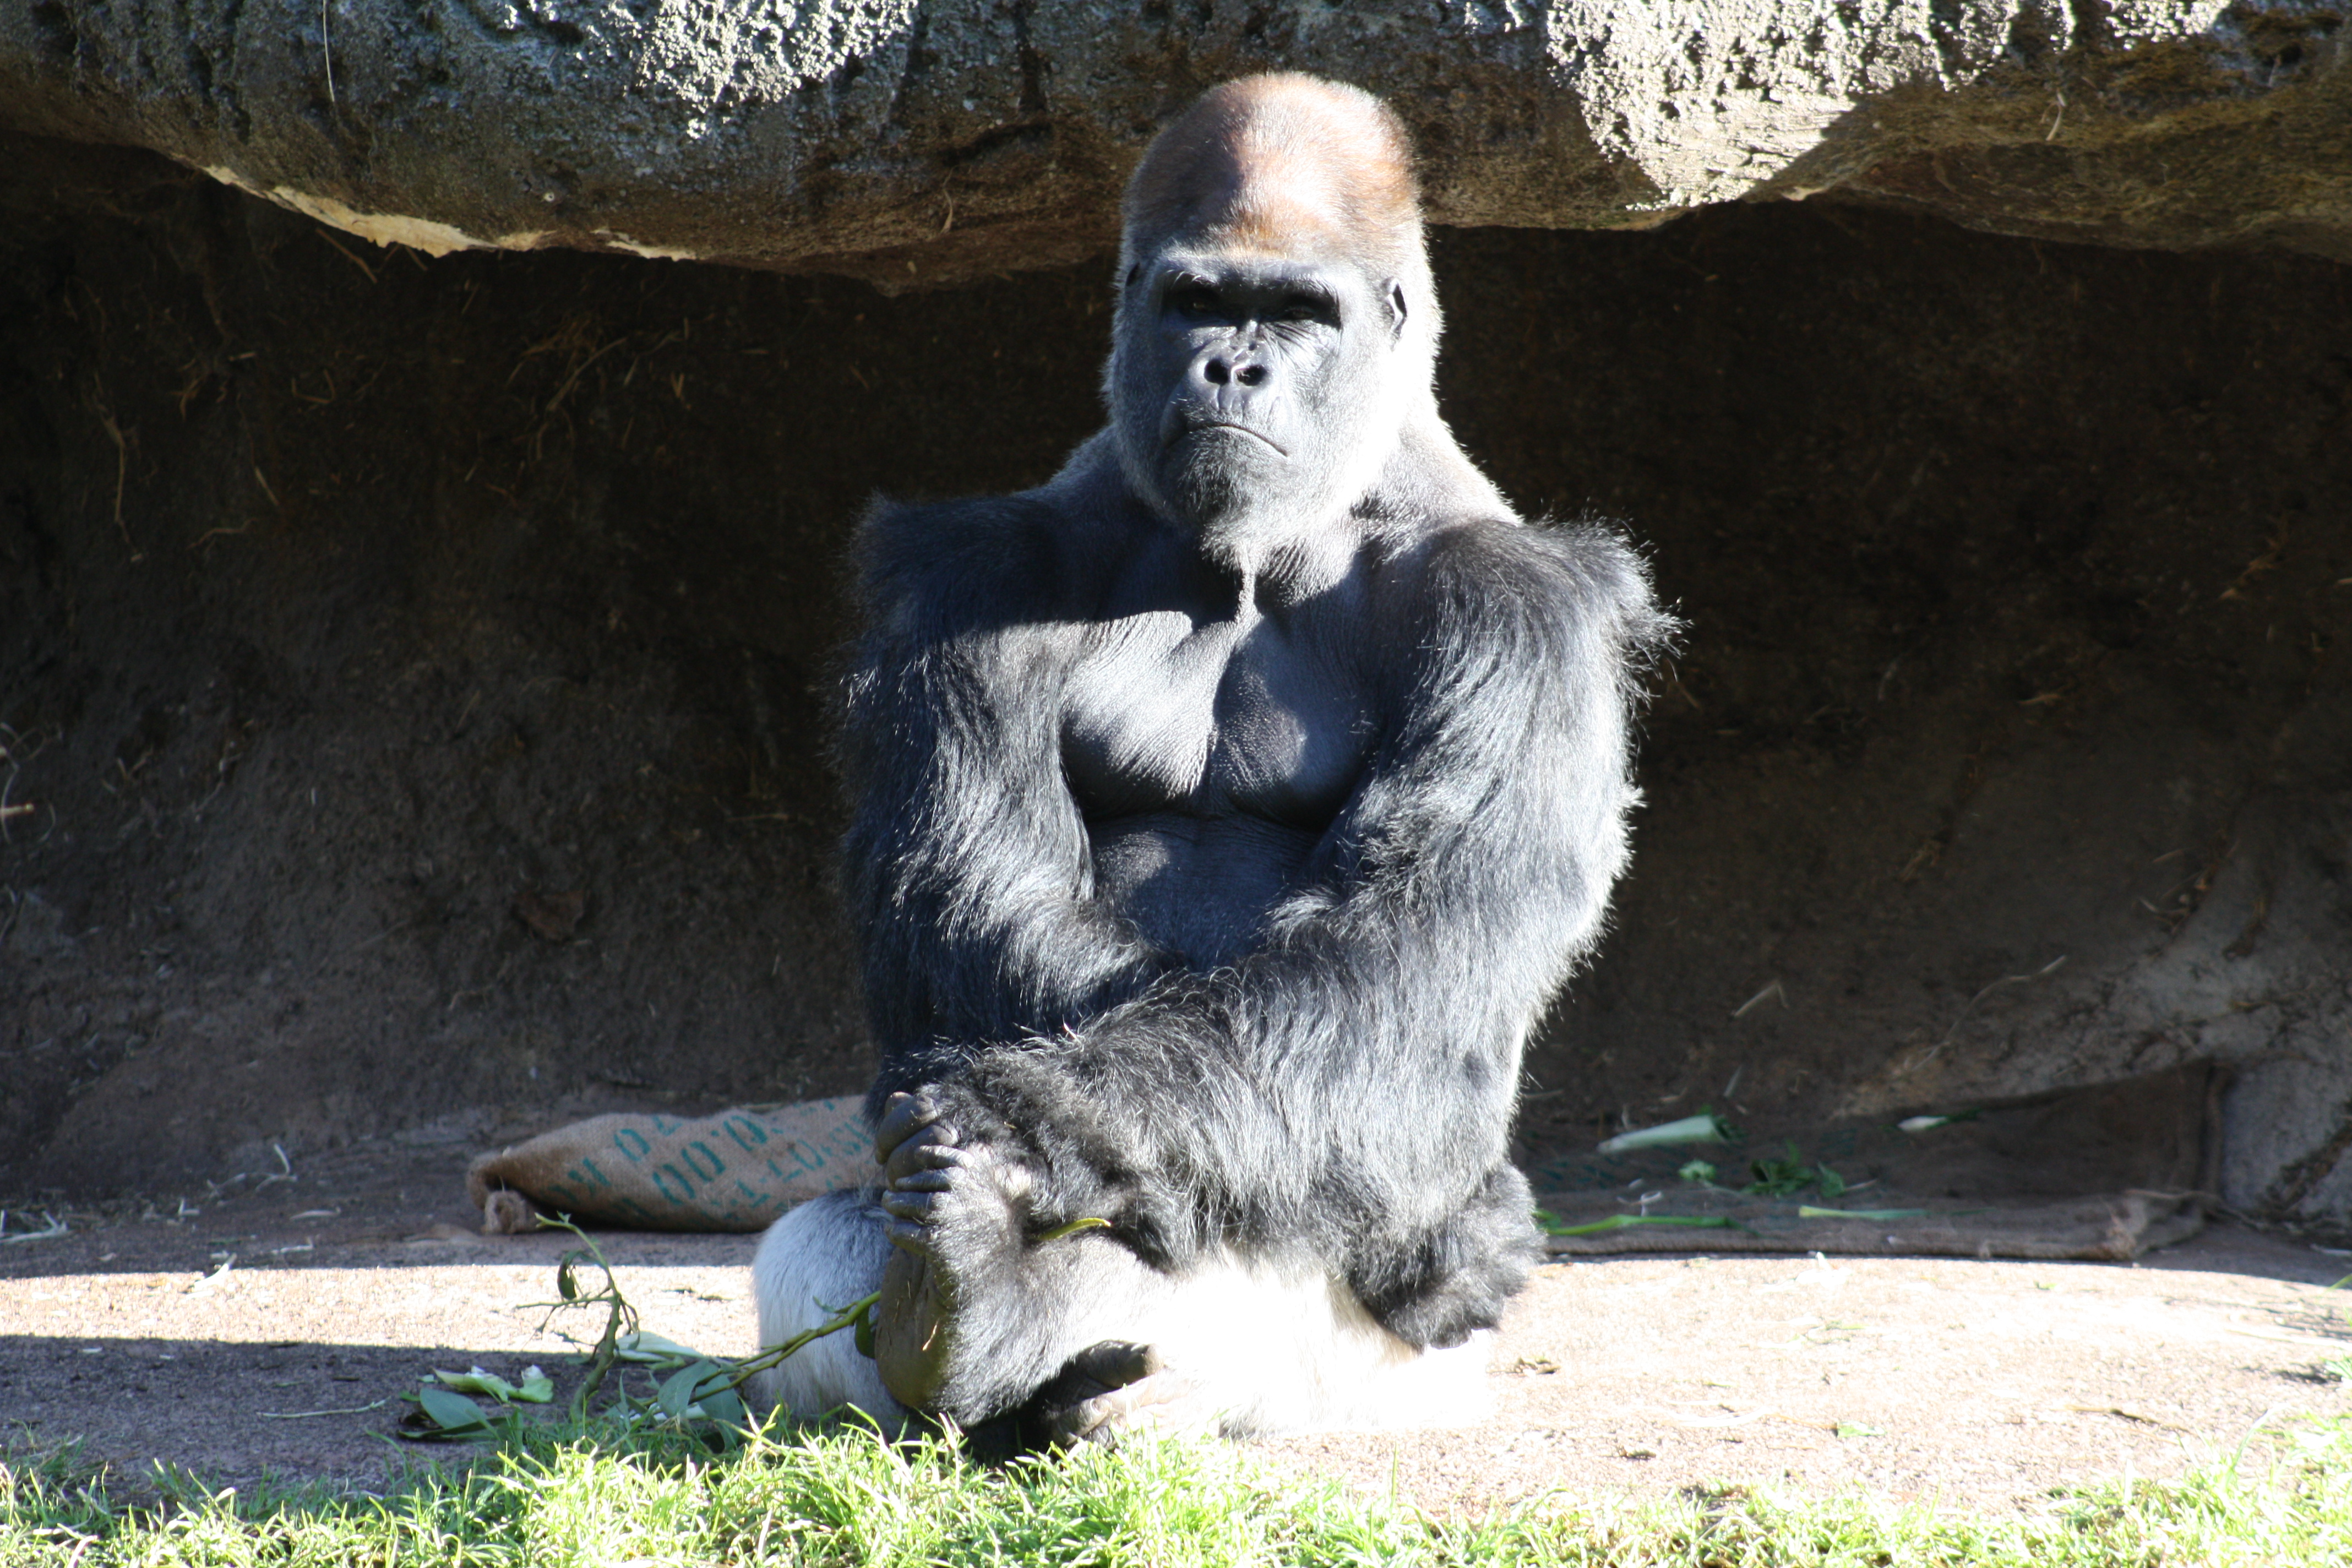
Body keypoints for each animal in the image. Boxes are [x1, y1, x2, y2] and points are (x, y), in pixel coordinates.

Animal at [753, 73, 1674, 1448]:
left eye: (1298, 314)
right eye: (1198, 302)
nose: (1234, 365)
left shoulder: (1518, 606)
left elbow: (1400, 953)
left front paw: (1036, 1125)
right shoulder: (977, 565)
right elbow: (974, 907)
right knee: (814, 1248)